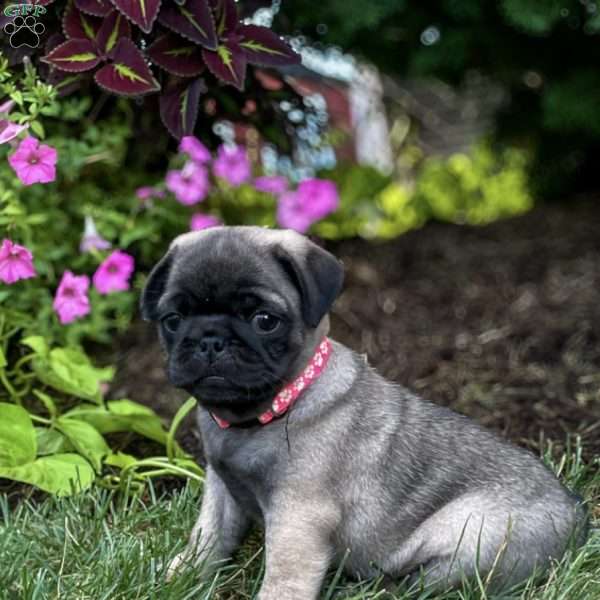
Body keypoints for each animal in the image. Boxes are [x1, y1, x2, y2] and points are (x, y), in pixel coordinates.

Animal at [141, 226, 584, 600]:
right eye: (173, 320)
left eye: (264, 320)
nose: (210, 340)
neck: (270, 409)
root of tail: (577, 517)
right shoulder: (221, 489)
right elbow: (207, 538)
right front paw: (178, 576)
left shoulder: (298, 516)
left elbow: (284, 577)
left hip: (471, 534)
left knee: (427, 583)